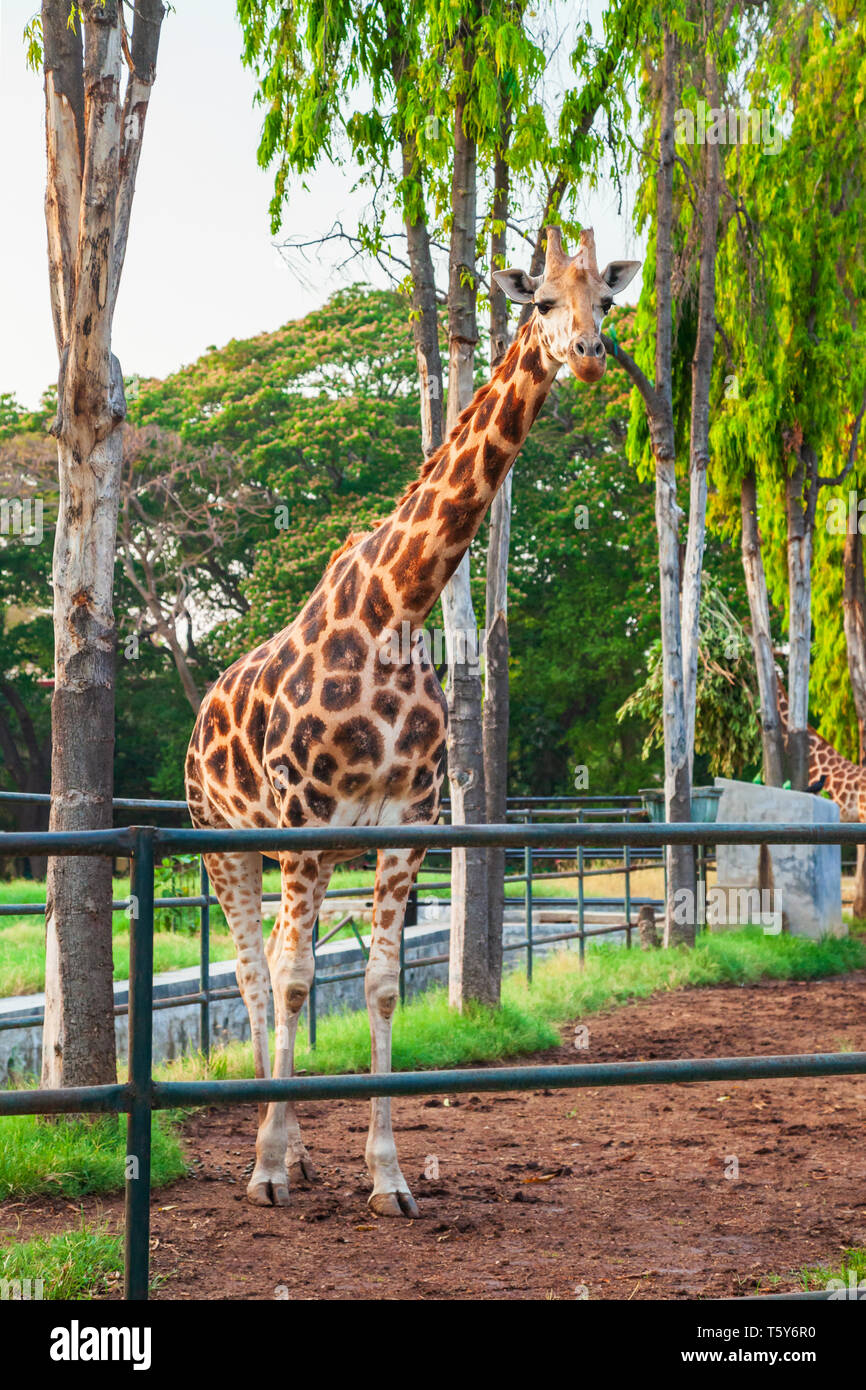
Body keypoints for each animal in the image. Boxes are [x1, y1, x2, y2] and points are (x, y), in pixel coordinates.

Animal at [184, 227, 644, 1217]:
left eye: (607, 300)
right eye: (539, 300)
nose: (589, 355)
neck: (399, 604)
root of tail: (198, 715)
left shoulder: (405, 826)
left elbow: (383, 986)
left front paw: (386, 1177)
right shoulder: (305, 823)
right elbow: (293, 981)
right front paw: (267, 1171)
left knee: (273, 964)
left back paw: (302, 1152)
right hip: (223, 842)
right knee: (252, 971)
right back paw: (271, 1153)